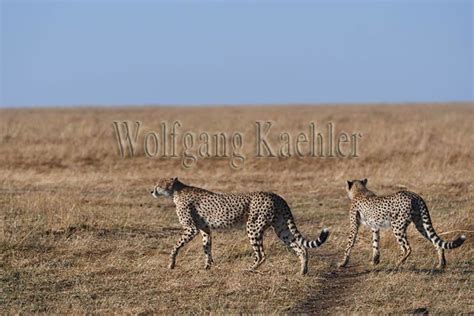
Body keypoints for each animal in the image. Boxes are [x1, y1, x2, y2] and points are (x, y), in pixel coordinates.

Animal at [151, 178, 330, 274]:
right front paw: (207, 266)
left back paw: (249, 269)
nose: (151, 191)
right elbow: (207, 248)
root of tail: (276, 195)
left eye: (158, 185)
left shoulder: (191, 229)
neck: (176, 191)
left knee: (261, 254)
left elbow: (175, 246)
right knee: (301, 248)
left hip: (253, 227)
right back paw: (302, 271)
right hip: (281, 228)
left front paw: (171, 264)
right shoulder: (205, 229)